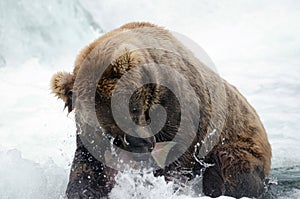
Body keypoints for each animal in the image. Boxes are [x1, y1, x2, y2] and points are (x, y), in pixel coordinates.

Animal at [51, 21, 272, 197]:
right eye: (108, 126)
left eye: (132, 109)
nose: (143, 143)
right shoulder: (88, 129)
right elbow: (88, 162)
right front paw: (83, 190)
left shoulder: (178, 103)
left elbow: (179, 153)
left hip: (240, 143)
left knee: (228, 168)